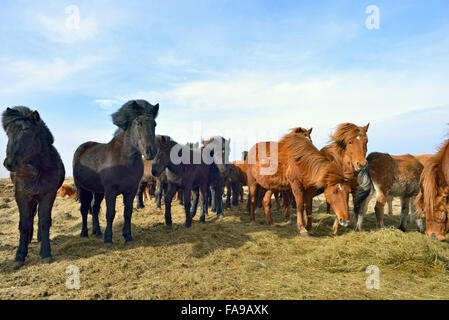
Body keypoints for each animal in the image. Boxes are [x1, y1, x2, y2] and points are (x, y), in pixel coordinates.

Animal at [1, 107, 65, 268]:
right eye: (8, 133)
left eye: (27, 131)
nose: (9, 163)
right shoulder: (21, 196)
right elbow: (24, 224)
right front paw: (20, 256)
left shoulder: (48, 195)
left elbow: (44, 222)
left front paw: (46, 253)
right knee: (29, 218)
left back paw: (39, 240)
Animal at [72, 101, 158, 246]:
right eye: (138, 123)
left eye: (154, 124)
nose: (150, 152)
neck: (124, 160)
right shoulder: (110, 191)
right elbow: (110, 214)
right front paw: (108, 239)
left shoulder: (131, 190)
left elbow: (128, 213)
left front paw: (128, 237)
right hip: (83, 190)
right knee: (84, 210)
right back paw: (84, 233)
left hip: (98, 192)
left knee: (95, 209)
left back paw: (97, 232)